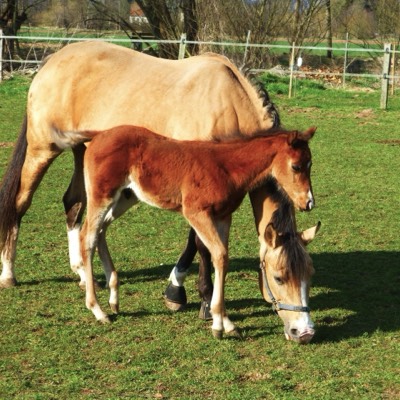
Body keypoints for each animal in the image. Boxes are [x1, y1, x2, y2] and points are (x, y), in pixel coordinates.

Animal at [0, 40, 292, 291]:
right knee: (19, 203)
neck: (226, 104)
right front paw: (192, 293)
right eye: (280, 276)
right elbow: (200, 242)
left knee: (73, 204)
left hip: (82, 152)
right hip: (42, 149)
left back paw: (83, 273)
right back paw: (8, 273)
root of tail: (53, 59)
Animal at [72, 124, 316, 339]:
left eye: (310, 164)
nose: (308, 203)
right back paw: (97, 309)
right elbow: (219, 255)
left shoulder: (223, 217)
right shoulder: (196, 213)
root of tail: (98, 136)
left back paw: (113, 298)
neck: (226, 167)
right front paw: (218, 324)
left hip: (125, 197)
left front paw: (226, 323)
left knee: (101, 231)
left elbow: (221, 257)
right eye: (296, 166)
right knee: (87, 236)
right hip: (101, 196)